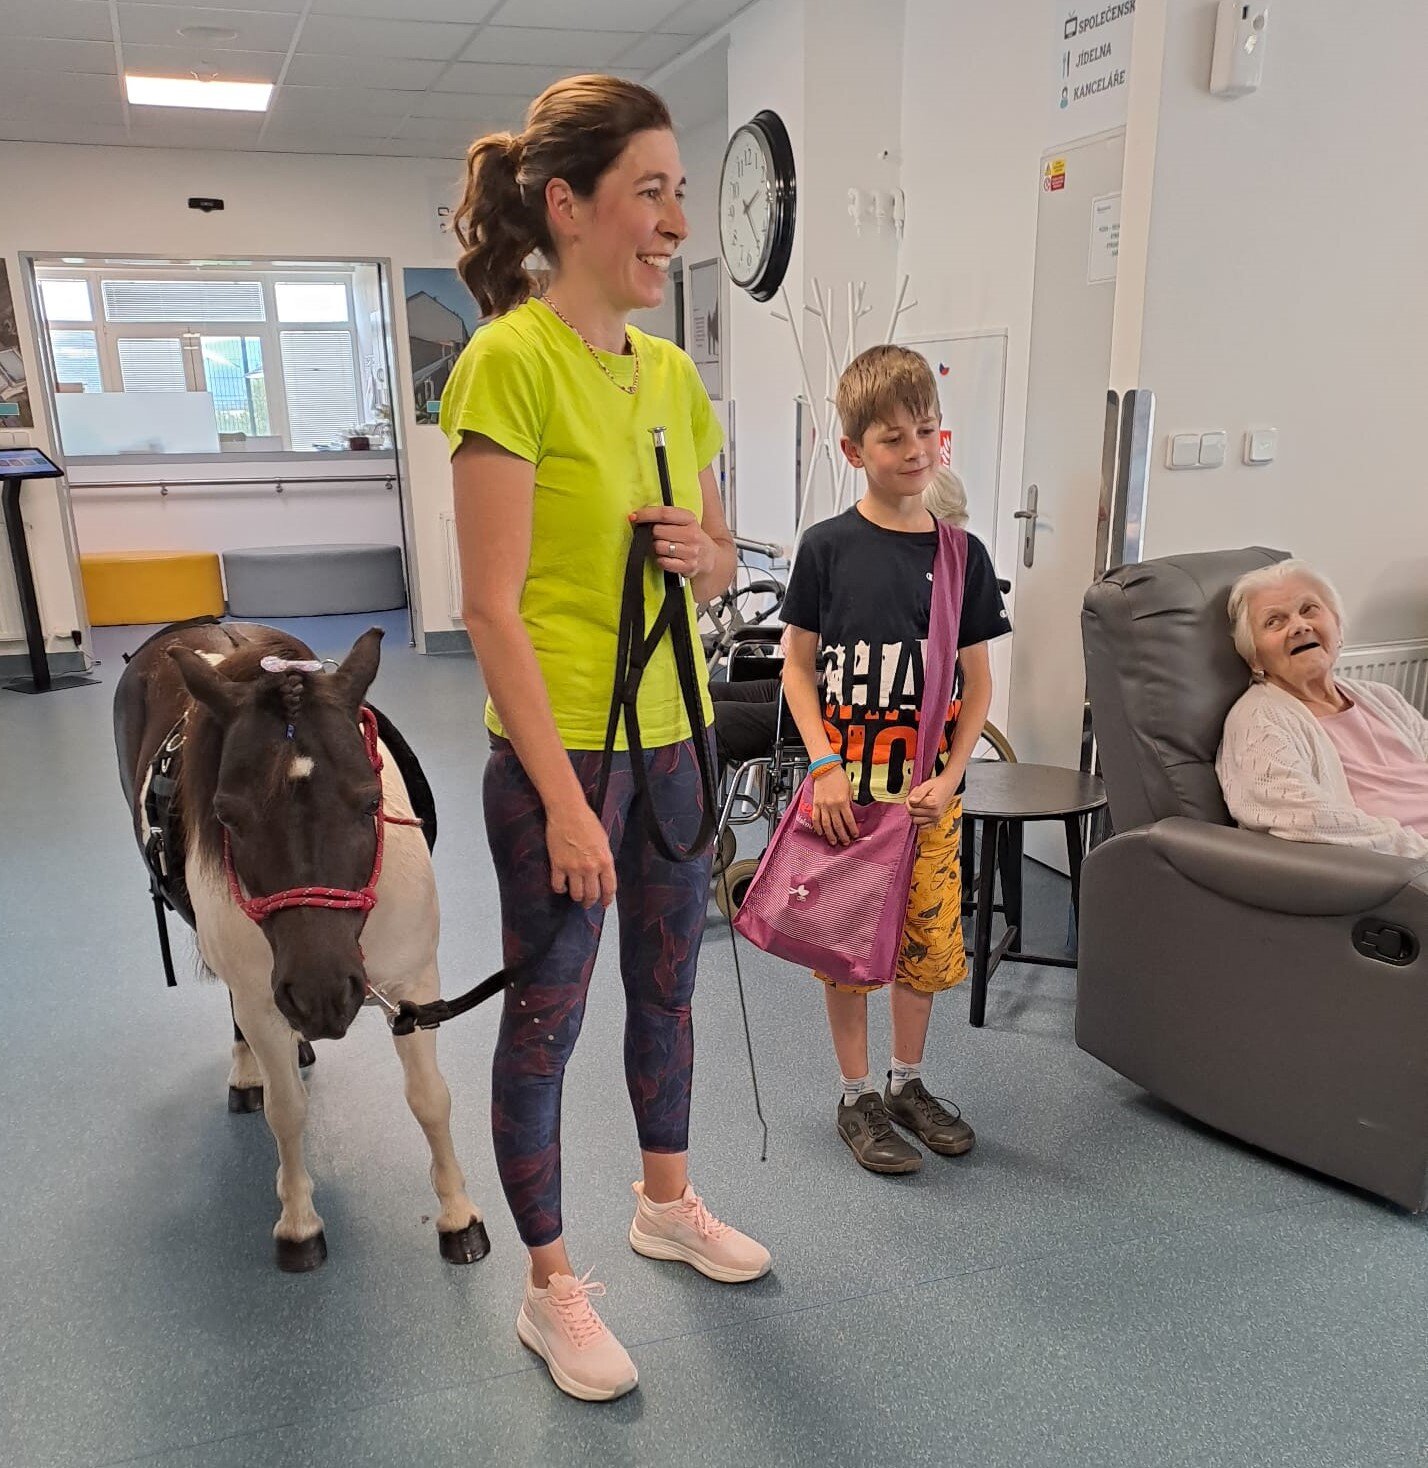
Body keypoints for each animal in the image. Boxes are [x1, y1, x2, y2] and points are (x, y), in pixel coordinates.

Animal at [114, 618, 488, 1273]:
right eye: (226, 816)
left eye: (370, 802)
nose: (321, 997)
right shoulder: (262, 998)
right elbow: (284, 1110)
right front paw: (298, 1223)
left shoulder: (415, 987)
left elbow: (430, 1099)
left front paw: (458, 1215)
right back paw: (250, 1069)